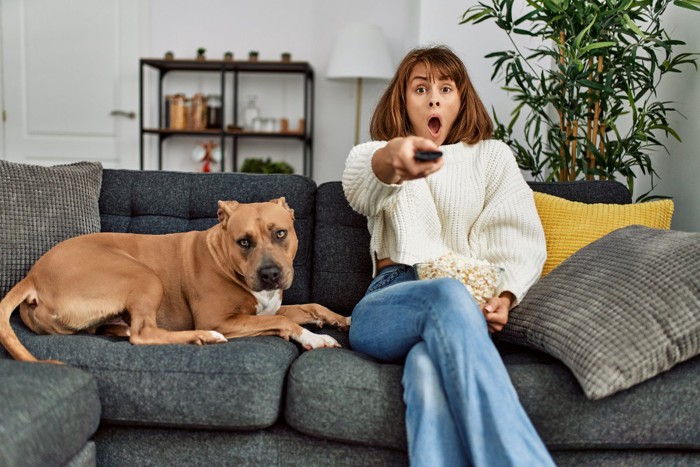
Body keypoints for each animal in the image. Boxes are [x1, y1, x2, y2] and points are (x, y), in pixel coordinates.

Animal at [0, 196, 350, 364]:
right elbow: (285, 322)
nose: (270, 274)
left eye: (281, 233)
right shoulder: (223, 319)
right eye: (244, 242)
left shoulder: (270, 306)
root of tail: (33, 275)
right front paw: (314, 338)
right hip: (143, 275)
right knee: (143, 334)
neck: (222, 257)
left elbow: (309, 306)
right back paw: (203, 337)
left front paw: (340, 319)